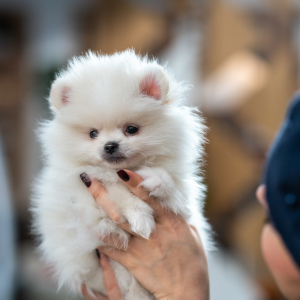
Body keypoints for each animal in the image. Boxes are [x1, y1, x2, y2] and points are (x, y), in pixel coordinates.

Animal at [31, 50, 212, 298]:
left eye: (132, 129)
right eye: (93, 133)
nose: (110, 145)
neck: (121, 170)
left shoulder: (183, 196)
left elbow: (169, 186)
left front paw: (154, 181)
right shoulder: (81, 192)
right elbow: (118, 191)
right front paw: (140, 216)